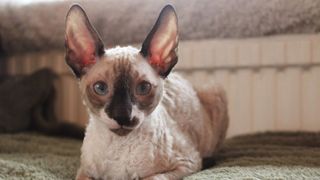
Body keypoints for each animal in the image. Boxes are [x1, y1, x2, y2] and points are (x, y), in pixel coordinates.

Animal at [65, 4, 229, 180]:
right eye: (100, 88)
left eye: (143, 88)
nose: (122, 116)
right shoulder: (84, 171)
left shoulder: (188, 162)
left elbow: (152, 177)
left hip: (215, 90)